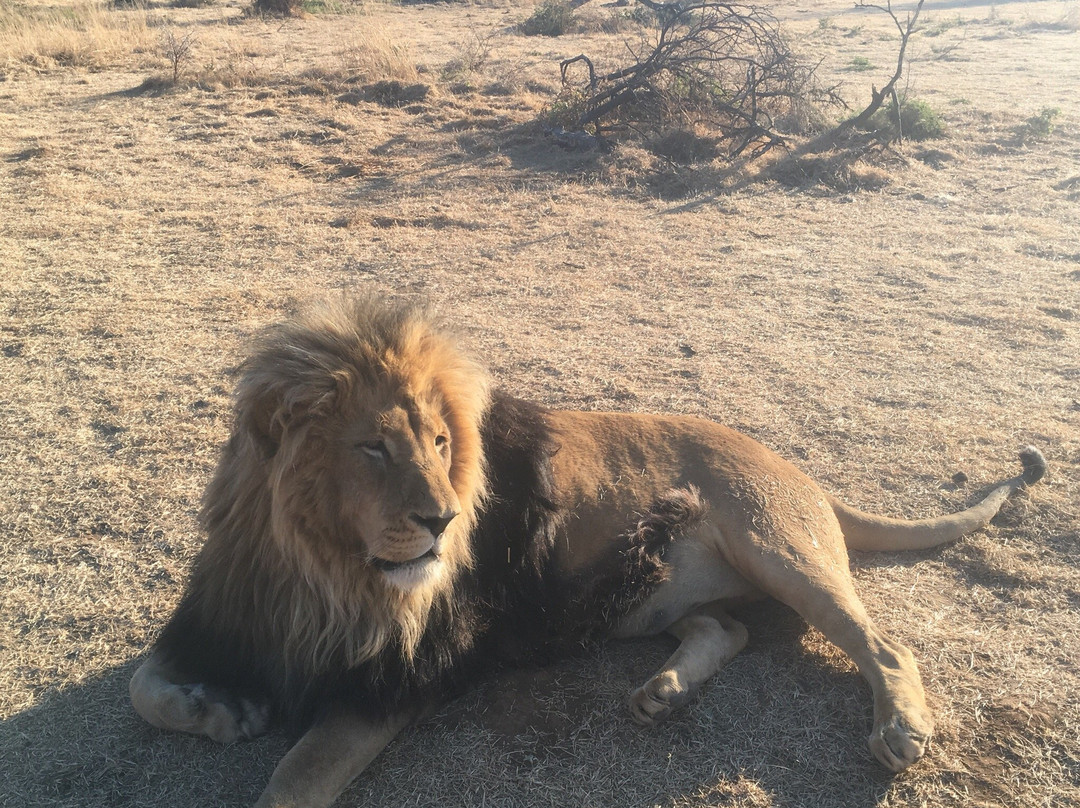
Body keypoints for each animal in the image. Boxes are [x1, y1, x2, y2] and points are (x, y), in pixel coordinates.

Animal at [130, 296, 1046, 808]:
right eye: (374, 449)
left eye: (439, 442)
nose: (444, 520)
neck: (317, 568)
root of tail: (797, 466)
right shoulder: (230, 616)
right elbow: (146, 687)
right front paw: (225, 712)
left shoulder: (400, 673)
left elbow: (295, 779)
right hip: (648, 602)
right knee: (727, 629)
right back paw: (663, 695)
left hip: (779, 549)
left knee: (883, 645)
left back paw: (901, 729)